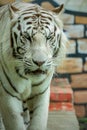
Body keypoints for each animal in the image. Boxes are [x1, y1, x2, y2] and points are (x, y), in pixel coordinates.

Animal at [0, 1, 68, 129]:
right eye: (27, 37)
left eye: (49, 37)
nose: (40, 62)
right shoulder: (8, 95)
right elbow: (15, 123)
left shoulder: (41, 93)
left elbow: (38, 122)